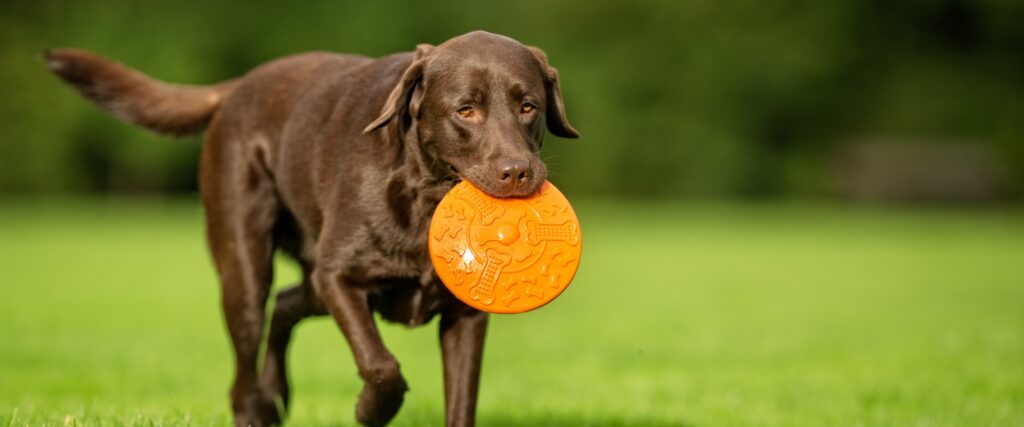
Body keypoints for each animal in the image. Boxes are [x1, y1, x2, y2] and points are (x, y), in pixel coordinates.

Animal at [46, 30, 577, 425]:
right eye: (466, 109)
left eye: (527, 105)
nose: (518, 172)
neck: (425, 196)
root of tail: (237, 87)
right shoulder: (338, 276)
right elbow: (381, 366)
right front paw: (369, 410)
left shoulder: (465, 316)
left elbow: (461, 401)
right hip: (246, 269)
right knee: (246, 363)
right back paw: (258, 406)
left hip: (309, 280)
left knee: (284, 307)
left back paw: (277, 394)